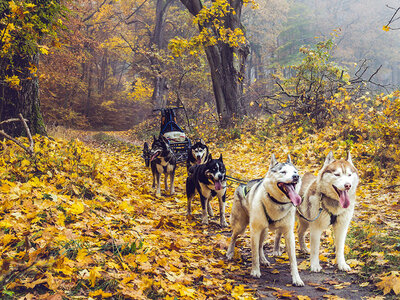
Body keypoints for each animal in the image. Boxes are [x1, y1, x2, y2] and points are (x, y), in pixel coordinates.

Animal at [225, 155, 304, 286]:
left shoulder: (288, 233)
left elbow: (293, 259)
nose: (296, 177)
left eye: (295, 172)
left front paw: (297, 278)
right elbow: (254, 254)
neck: (277, 202)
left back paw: (263, 259)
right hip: (241, 225)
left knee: (260, 246)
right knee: (234, 236)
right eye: (283, 172)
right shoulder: (255, 230)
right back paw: (230, 252)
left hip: (265, 231)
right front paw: (255, 271)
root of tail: (242, 184)